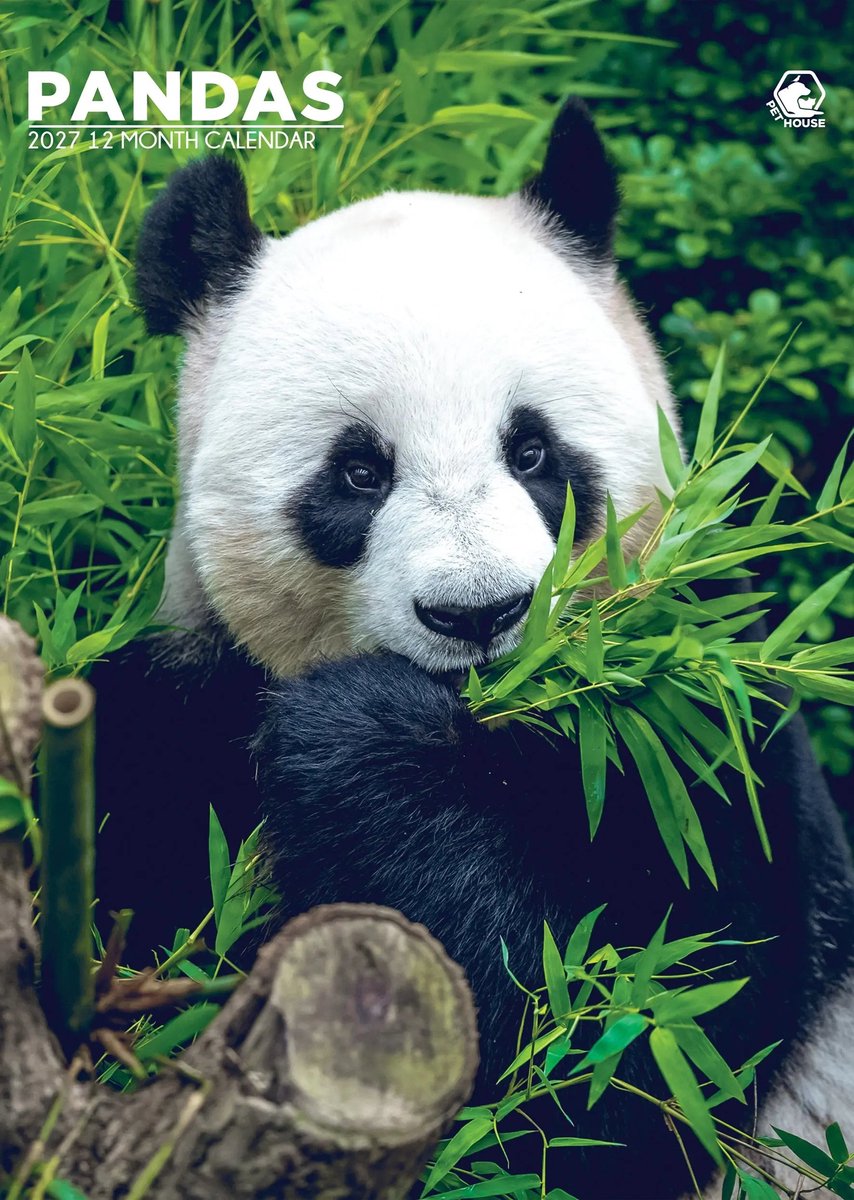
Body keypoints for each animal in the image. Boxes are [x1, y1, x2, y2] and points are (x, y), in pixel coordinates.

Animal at [92, 99, 854, 1199]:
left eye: (531, 450)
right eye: (359, 472)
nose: (478, 613)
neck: (495, 729)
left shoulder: (700, 741)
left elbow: (630, 1054)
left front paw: (356, 742)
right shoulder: (175, 726)